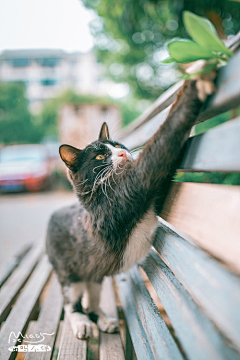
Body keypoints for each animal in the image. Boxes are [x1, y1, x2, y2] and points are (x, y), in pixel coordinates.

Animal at [47, 79, 212, 340]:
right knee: (71, 302)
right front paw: (191, 87)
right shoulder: (124, 196)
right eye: (100, 156)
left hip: (94, 273)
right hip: (67, 271)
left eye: (117, 145)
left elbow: (164, 174)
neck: (98, 196)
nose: (123, 152)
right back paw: (82, 322)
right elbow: (155, 157)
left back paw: (104, 319)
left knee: (93, 296)